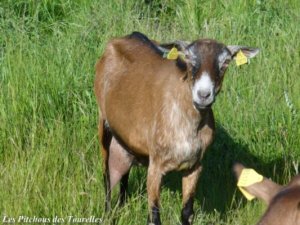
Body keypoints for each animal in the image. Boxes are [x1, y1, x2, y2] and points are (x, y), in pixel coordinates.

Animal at [95, 32, 258, 225]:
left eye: (225, 62)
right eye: (188, 57)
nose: (203, 94)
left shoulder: (195, 165)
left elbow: (187, 212)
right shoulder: (155, 165)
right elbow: (154, 216)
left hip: (125, 138)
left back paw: (122, 206)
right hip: (103, 121)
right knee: (107, 176)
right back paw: (108, 213)